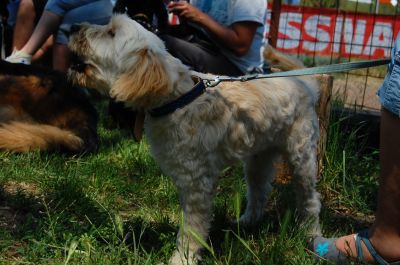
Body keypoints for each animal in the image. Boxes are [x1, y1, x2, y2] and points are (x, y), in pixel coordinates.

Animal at [69, 14, 322, 264]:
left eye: (111, 32)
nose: (73, 26)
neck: (176, 100)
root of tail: (304, 83)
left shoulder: (197, 183)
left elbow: (192, 229)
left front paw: (182, 258)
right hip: (258, 161)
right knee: (259, 191)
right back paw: (247, 222)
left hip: (301, 158)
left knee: (310, 200)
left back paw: (312, 236)